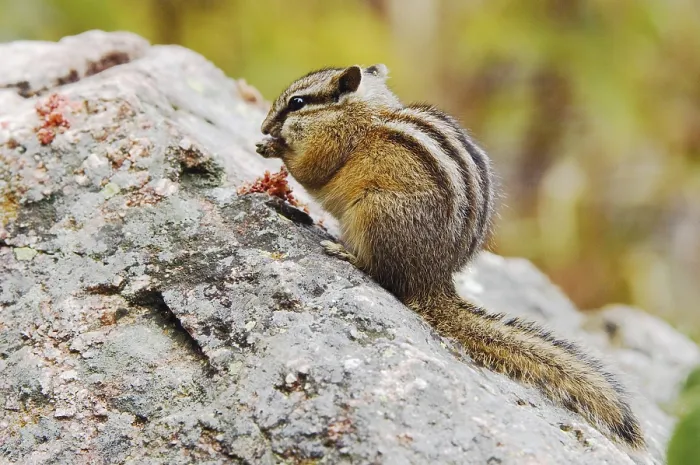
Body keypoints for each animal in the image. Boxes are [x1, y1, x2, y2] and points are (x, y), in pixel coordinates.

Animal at [254, 64, 645, 450]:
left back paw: (345, 253)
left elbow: (311, 170)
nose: (263, 127)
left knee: (381, 272)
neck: (363, 112)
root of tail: (433, 280)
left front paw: (273, 147)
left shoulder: (331, 146)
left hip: (375, 212)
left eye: (297, 103)